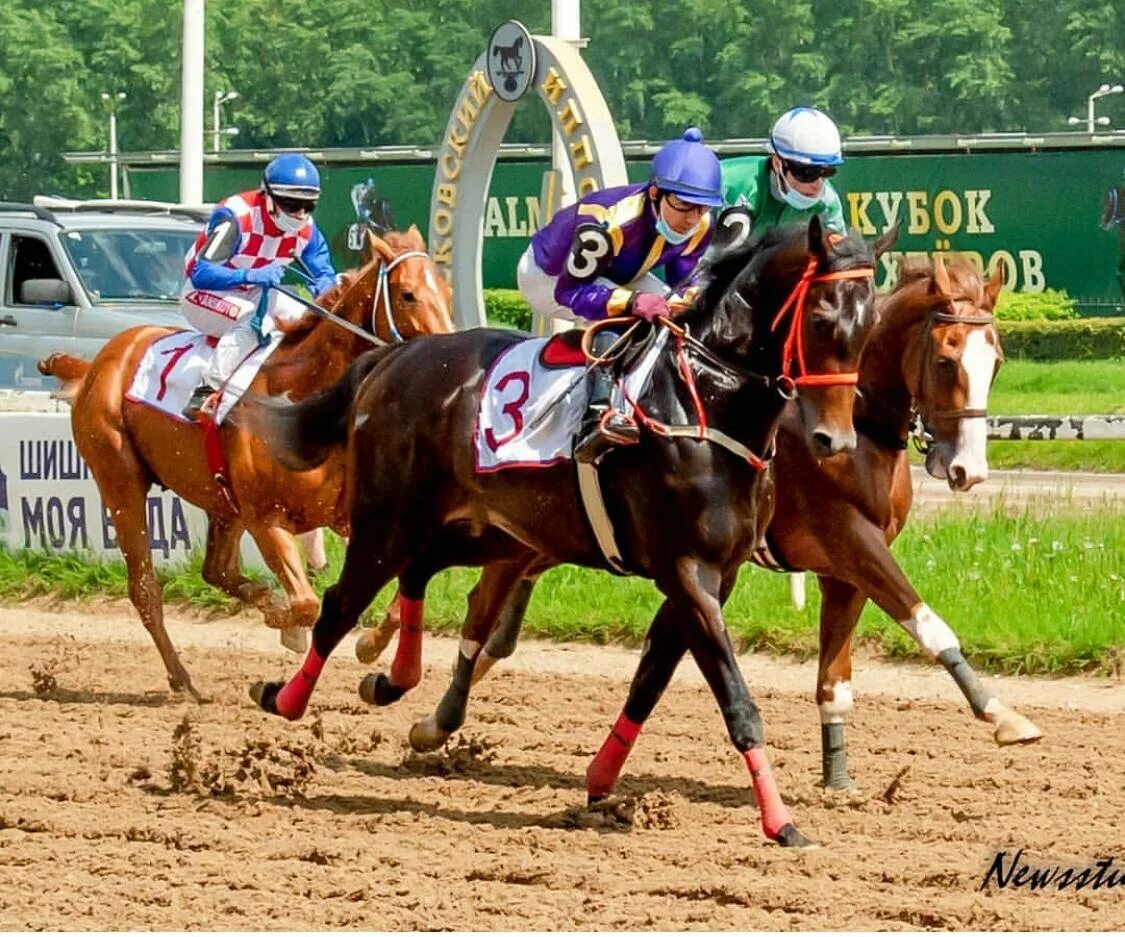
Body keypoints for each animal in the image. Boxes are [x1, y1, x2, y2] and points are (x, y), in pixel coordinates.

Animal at [38, 224, 452, 701]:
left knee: (216, 569)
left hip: (221, 500)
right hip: (120, 482)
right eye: (407, 294)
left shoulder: (346, 514)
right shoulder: (266, 517)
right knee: (144, 589)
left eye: (446, 290)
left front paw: (368, 645)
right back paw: (184, 680)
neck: (302, 399)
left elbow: (401, 595)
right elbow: (307, 604)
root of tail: (95, 364)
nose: (445, 356)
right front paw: (287, 627)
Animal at [248, 219, 895, 845]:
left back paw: (392, 680)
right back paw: (284, 698)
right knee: (339, 605)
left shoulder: (714, 576)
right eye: (820, 319)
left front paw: (601, 779)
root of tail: (393, 358)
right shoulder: (688, 572)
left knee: (420, 571)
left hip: (493, 530)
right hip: (389, 519)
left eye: (870, 326)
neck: (706, 403)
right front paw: (782, 824)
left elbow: (649, 681)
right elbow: (737, 702)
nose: (834, 441)